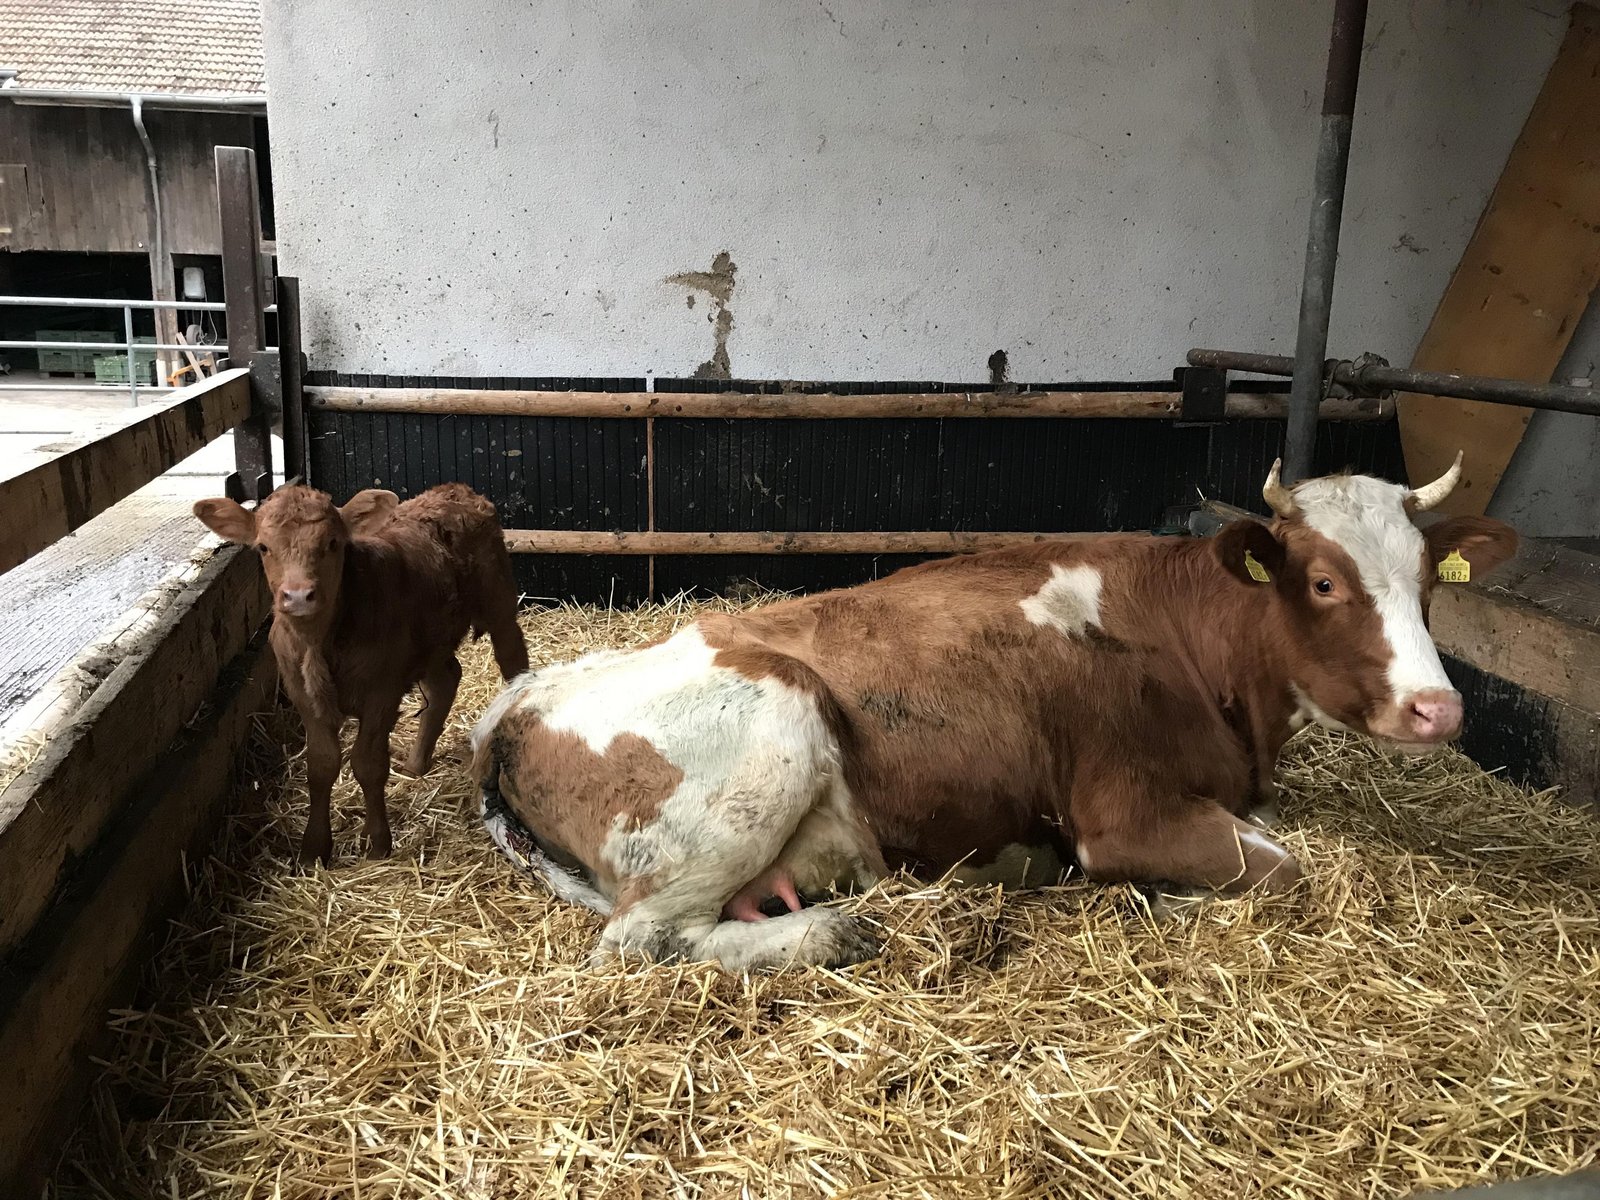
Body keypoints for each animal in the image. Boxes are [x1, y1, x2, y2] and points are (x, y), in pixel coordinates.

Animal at [195, 483, 529, 864]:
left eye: (333, 543)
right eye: (263, 547)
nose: (298, 596)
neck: (319, 644)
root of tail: (454, 490)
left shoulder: (381, 693)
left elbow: (368, 764)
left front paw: (377, 843)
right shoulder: (302, 694)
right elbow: (322, 764)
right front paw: (314, 849)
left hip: (499, 602)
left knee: (512, 657)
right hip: (428, 642)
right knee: (445, 680)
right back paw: (415, 764)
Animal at [469, 457, 1517, 971]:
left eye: (1430, 583)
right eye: (1325, 580)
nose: (1438, 709)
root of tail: (524, 699)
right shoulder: (1120, 816)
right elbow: (1285, 867)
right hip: (775, 723)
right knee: (638, 941)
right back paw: (827, 935)